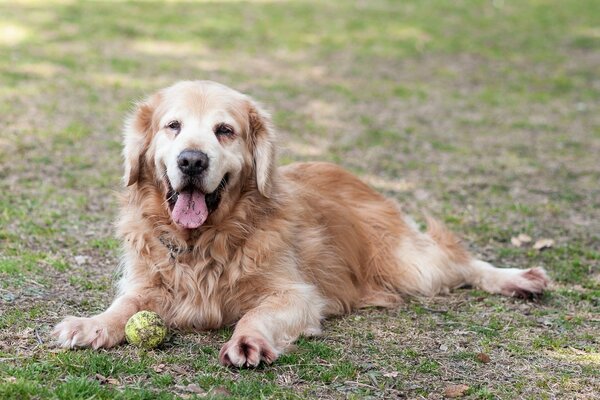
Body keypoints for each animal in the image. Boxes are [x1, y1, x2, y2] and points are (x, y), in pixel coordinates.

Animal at [54, 80, 552, 366]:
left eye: (225, 131)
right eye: (172, 126)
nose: (192, 161)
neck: (204, 242)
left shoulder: (296, 294)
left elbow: (256, 313)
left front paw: (249, 340)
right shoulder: (146, 283)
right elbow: (124, 307)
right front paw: (91, 324)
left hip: (408, 263)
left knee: (459, 260)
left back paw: (518, 279)